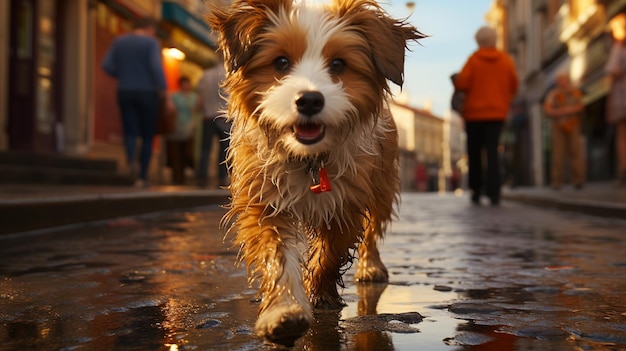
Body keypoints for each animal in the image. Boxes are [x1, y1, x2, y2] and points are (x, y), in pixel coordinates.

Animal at [207, 0, 422, 346]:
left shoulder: (347, 201)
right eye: (281, 62)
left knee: (373, 230)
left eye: (338, 64)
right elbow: (276, 254)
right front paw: (283, 310)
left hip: (382, 185)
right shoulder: (263, 198)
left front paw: (320, 293)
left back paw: (370, 266)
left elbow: (329, 253)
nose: (309, 100)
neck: (308, 160)